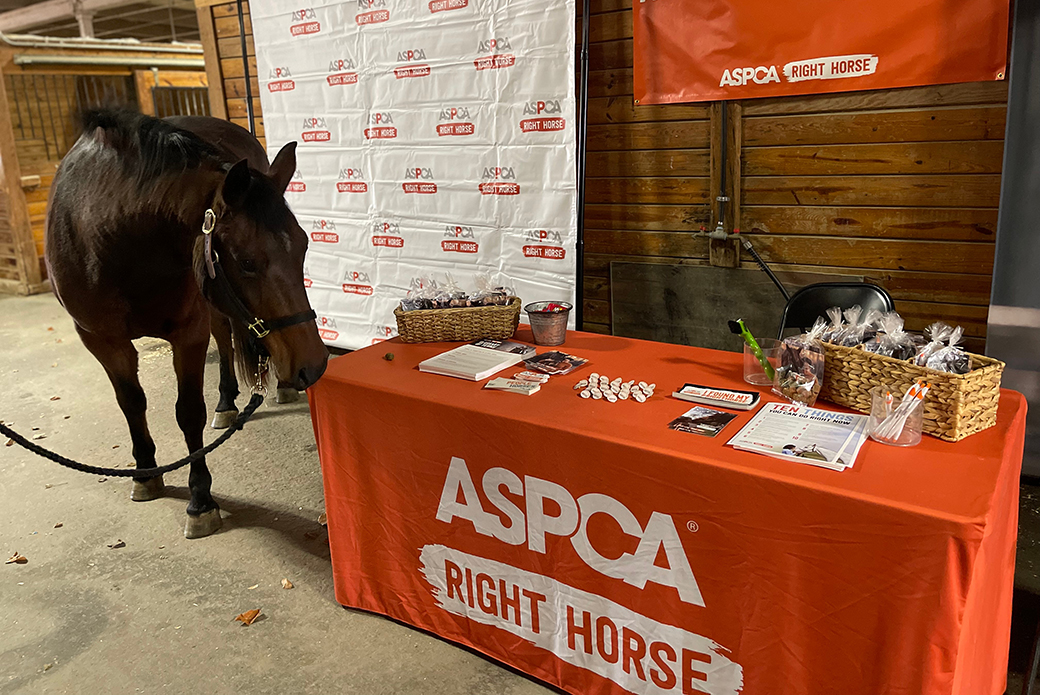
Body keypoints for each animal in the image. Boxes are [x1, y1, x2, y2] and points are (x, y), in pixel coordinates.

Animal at [45, 111, 324, 541]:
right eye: (246, 262)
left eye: (304, 245)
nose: (315, 364)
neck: (115, 238)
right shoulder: (101, 341)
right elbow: (131, 403)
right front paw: (145, 472)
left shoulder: (188, 332)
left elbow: (188, 411)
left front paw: (200, 500)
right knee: (224, 340)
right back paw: (227, 403)